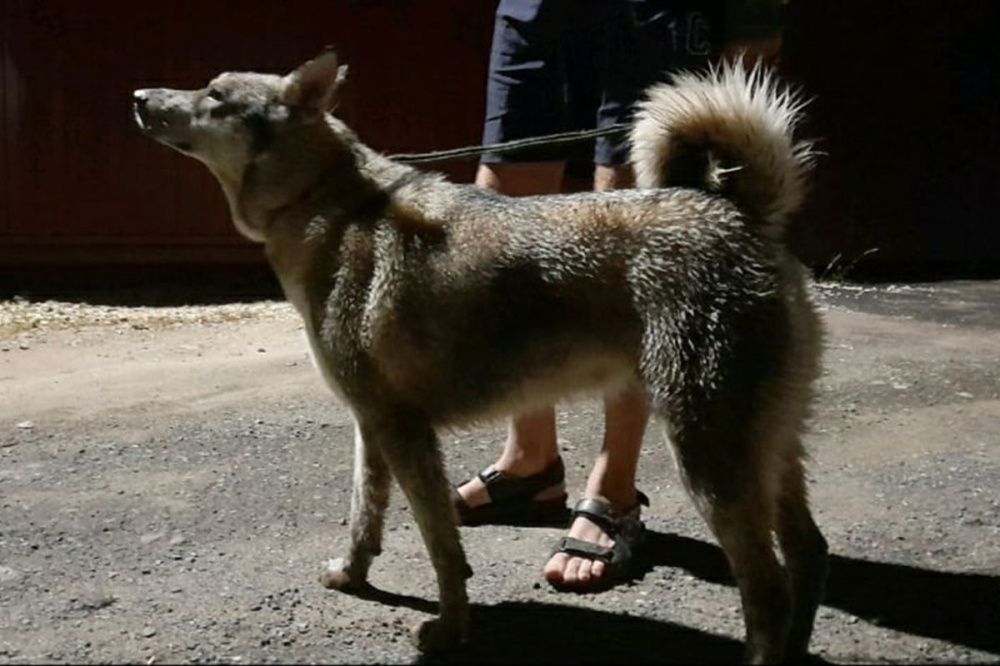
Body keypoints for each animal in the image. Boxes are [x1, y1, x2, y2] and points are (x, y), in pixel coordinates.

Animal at [133, 50, 828, 660]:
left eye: (215, 95)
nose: (138, 96)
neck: (328, 201)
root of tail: (738, 215)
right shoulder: (372, 426)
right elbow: (364, 516)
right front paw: (351, 575)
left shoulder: (405, 433)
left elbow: (440, 547)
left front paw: (450, 630)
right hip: (765, 452)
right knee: (808, 553)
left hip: (709, 456)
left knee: (767, 590)